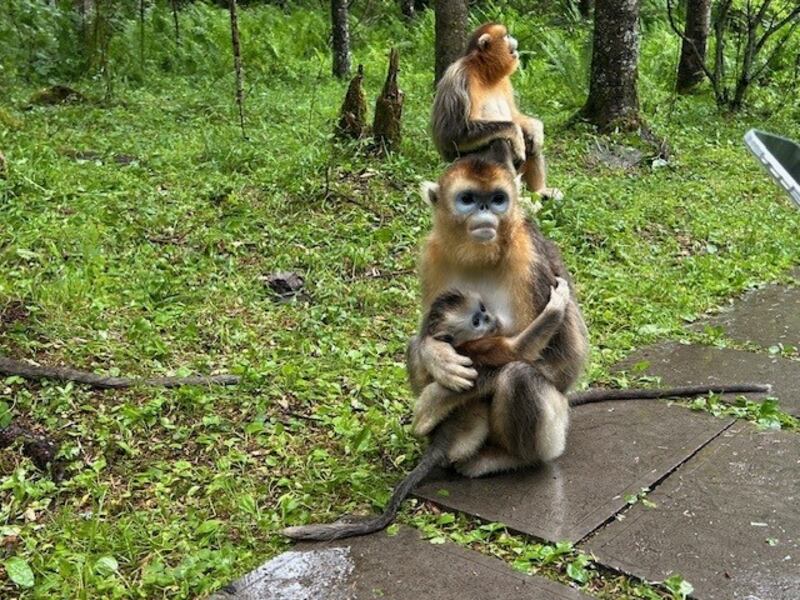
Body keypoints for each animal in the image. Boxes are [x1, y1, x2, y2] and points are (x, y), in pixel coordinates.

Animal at [432, 22, 561, 199]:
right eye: (506, 36)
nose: (514, 40)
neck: (485, 73)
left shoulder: (504, 81)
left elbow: (515, 117)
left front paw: (536, 129)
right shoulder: (461, 78)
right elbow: (451, 134)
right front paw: (515, 134)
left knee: (531, 142)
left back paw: (539, 191)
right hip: (465, 166)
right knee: (499, 142)